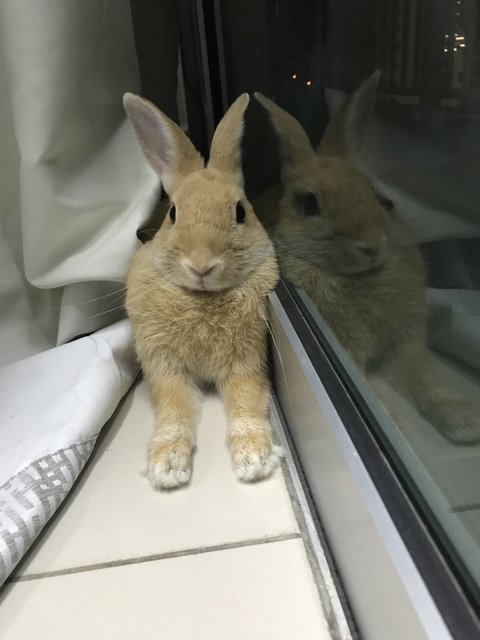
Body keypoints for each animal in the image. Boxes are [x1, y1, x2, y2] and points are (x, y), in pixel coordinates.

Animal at [122, 92, 284, 488]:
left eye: (240, 212)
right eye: (173, 214)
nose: (201, 266)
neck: (202, 298)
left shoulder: (247, 362)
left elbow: (246, 404)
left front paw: (254, 458)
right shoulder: (165, 369)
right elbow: (173, 411)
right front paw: (166, 468)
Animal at [256, 74, 480, 444]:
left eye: (377, 196)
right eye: (310, 204)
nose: (371, 245)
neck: (359, 278)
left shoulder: (406, 341)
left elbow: (422, 379)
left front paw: (465, 422)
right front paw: (397, 425)